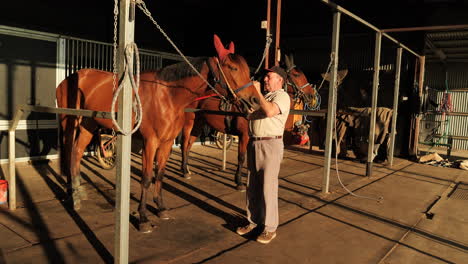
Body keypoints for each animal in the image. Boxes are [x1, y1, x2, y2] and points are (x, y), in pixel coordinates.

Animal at [56, 34, 262, 232]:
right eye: (233, 68)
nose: (254, 100)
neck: (168, 96)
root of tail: (68, 79)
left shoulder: (166, 142)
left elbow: (160, 174)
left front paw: (161, 207)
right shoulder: (150, 142)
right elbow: (147, 178)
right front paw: (143, 218)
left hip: (88, 125)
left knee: (77, 152)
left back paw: (78, 191)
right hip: (70, 123)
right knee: (69, 151)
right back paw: (72, 195)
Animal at [181, 53, 316, 190]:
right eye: (297, 75)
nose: (312, 95)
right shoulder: (244, 135)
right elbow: (241, 157)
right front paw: (239, 182)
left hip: (198, 123)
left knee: (189, 144)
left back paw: (187, 169)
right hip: (188, 124)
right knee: (184, 144)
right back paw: (184, 171)